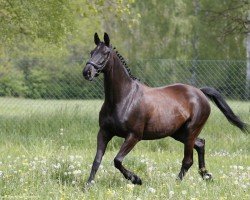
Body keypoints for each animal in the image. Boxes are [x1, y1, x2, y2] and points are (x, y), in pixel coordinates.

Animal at [82, 32, 248, 186]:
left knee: (188, 160)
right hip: (179, 133)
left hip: (190, 131)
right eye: (92, 52)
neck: (124, 98)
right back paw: (206, 175)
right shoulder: (104, 132)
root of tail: (200, 92)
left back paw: (177, 183)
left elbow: (117, 160)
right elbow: (97, 160)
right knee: (200, 144)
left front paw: (136, 179)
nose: (87, 72)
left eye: (105, 53)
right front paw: (88, 185)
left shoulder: (133, 136)